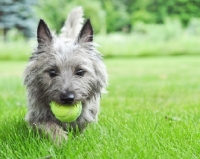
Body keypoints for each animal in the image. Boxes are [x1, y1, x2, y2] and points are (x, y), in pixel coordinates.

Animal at [23, 6, 108, 142]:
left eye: (80, 71)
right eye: (52, 71)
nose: (67, 98)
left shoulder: (89, 118)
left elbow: (84, 129)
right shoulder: (35, 118)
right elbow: (49, 126)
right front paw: (62, 140)